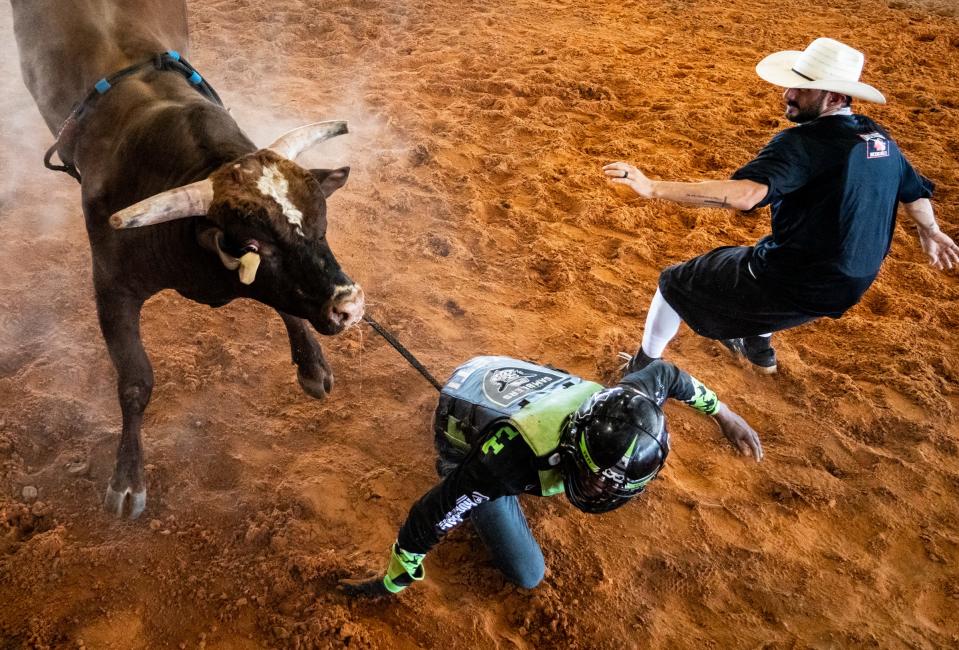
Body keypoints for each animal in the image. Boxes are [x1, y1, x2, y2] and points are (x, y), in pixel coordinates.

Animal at [9, 0, 366, 516]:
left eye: (322, 225)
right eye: (259, 246)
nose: (349, 305)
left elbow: (287, 304)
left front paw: (311, 364)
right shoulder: (111, 288)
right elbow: (136, 380)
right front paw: (128, 480)